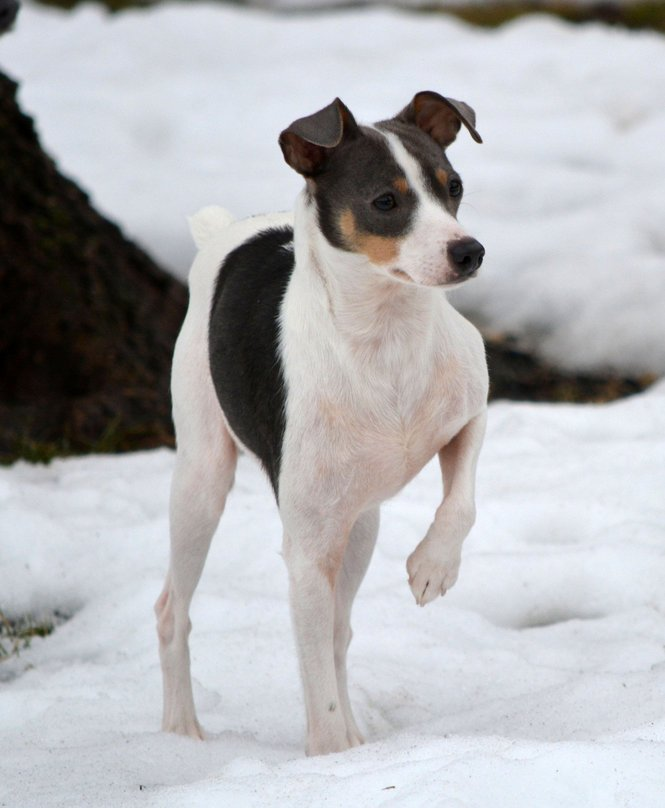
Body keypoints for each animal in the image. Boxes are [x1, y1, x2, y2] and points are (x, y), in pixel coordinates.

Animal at [156, 91, 488, 756]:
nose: (469, 252)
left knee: (339, 632)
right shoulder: (306, 552)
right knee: (173, 610)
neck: (385, 337)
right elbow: (314, 679)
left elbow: (462, 500)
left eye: (454, 186)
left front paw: (433, 567)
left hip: (358, 524)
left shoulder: (472, 408)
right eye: (385, 201)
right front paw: (330, 759)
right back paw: (182, 728)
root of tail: (225, 233)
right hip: (203, 479)